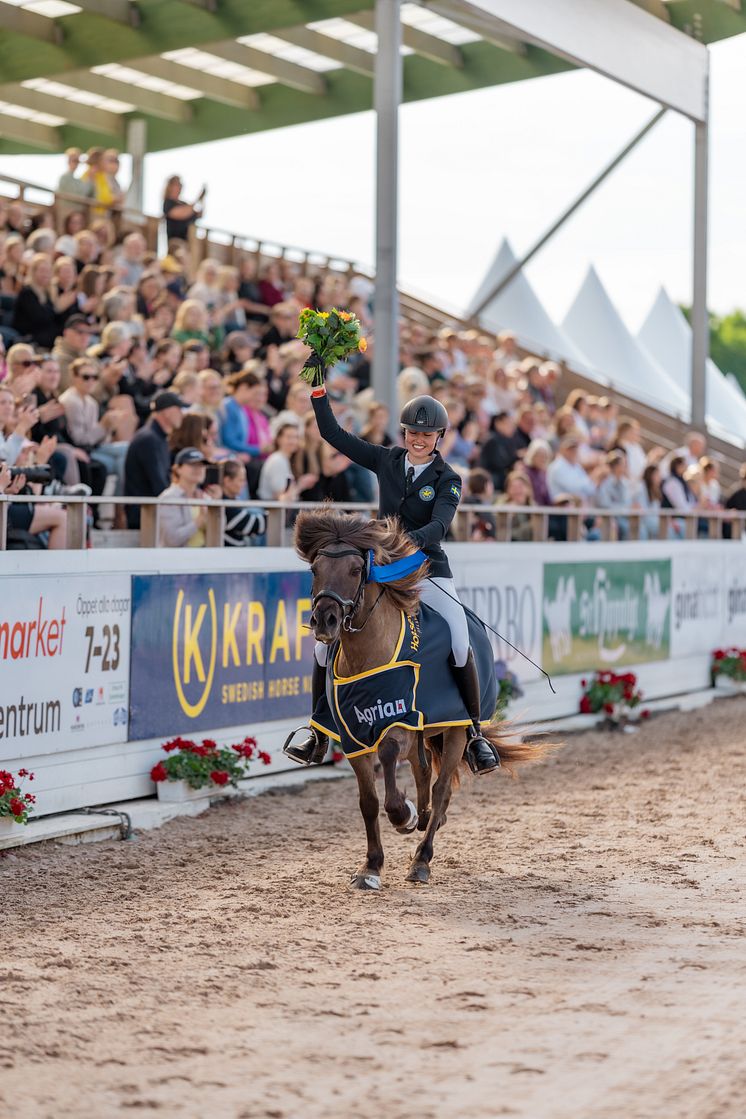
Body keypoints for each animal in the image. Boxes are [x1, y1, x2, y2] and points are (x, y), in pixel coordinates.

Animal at [295, 510, 548, 890]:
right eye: (314, 569)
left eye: (355, 570)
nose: (325, 621)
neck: (367, 653)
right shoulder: (353, 734)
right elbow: (368, 801)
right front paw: (370, 867)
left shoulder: (399, 719)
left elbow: (389, 761)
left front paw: (405, 815)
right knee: (423, 770)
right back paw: (426, 818)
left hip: (456, 727)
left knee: (442, 788)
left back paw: (422, 858)